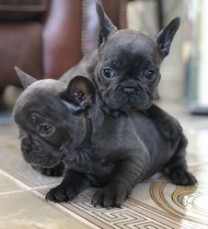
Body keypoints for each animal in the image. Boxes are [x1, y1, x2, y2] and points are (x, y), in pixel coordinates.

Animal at [13, 68, 197, 208]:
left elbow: (122, 175)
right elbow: (70, 178)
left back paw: (182, 175)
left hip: (180, 141)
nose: (24, 147)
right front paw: (62, 189)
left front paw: (110, 192)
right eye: (19, 128)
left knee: (179, 160)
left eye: (45, 128)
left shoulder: (135, 157)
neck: (83, 149)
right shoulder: (76, 168)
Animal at [61, 2, 182, 140]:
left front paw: (169, 121)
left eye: (150, 74)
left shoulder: (145, 100)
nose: (129, 88)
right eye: (107, 73)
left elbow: (151, 106)